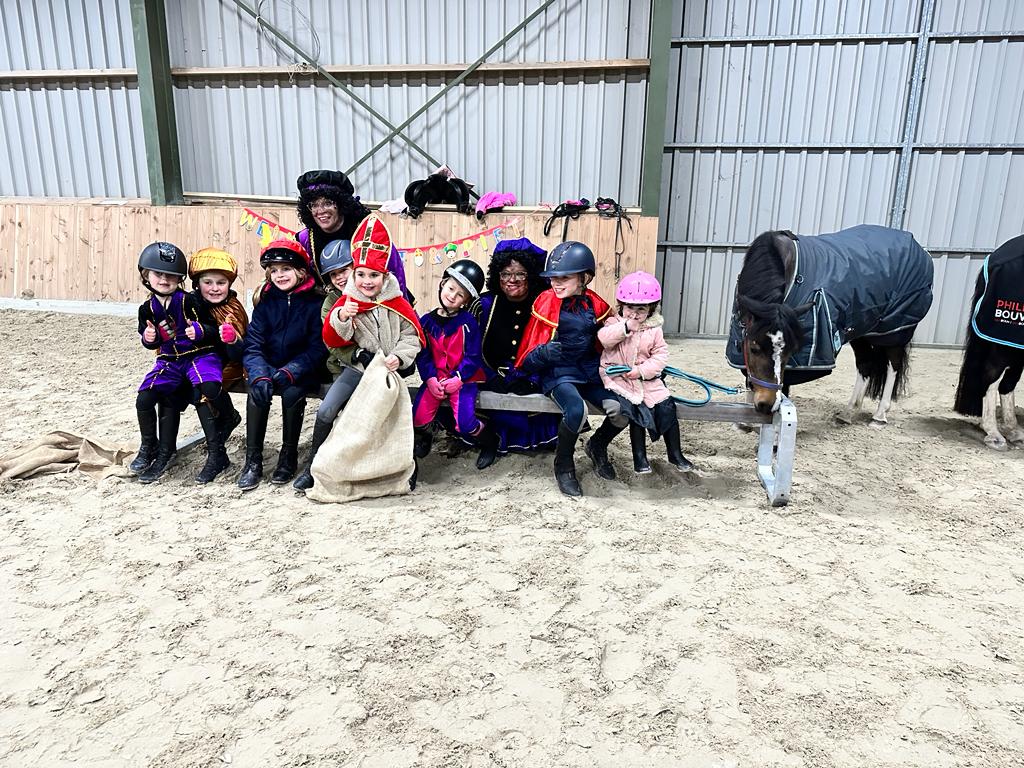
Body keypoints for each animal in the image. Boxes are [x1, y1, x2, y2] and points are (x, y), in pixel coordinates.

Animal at [726, 225, 934, 423]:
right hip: (861, 330)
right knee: (866, 364)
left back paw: (879, 416)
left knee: (893, 365)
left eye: (791, 351)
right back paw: (848, 413)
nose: (767, 404)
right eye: (754, 349)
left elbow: (784, 386)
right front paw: (745, 422)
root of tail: (920, 250)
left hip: (894, 329)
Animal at [953, 234, 1024, 450]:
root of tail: (994, 260)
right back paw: (995, 434)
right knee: (992, 377)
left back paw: (1013, 431)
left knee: (1008, 382)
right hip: (1007, 340)